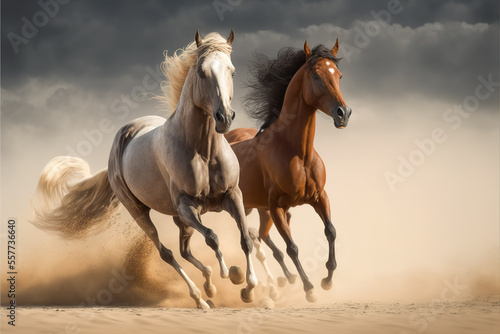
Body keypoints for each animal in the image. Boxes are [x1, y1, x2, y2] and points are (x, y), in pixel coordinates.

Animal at [32, 30, 258, 310]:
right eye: (202, 72)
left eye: (232, 71)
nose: (224, 117)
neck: (203, 151)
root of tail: (120, 143)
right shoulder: (188, 206)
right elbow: (212, 237)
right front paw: (229, 274)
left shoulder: (232, 196)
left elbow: (245, 239)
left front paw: (247, 288)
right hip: (141, 212)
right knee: (167, 253)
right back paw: (199, 297)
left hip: (177, 217)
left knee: (184, 251)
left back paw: (209, 286)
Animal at [227, 39, 352, 302]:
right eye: (316, 76)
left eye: (339, 75)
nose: (343, 113)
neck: (298, 153)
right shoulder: (276, 206)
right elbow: (292, 247)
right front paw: (310, 288)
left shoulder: (319, 197)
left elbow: (331, 231)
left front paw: (327, 280)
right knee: (253, 239)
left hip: (258, 209)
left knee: (259, 237)